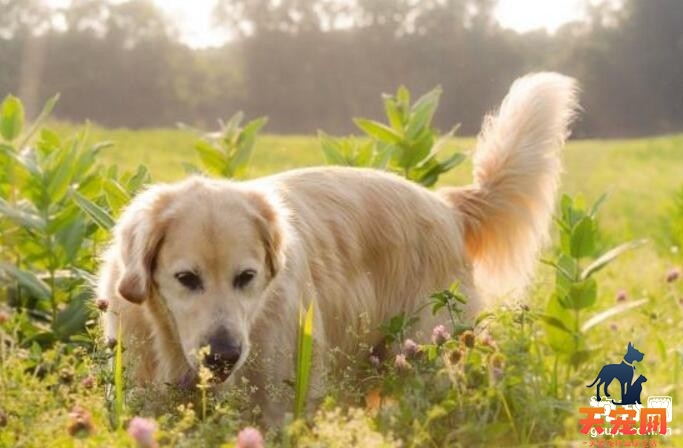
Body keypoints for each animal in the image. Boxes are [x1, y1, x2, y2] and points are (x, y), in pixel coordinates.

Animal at [96, 72, 576, 422]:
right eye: (186, 279)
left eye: (246, 277)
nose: (224, 356)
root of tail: (445, 205)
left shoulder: (279, 404)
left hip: (433, 357)